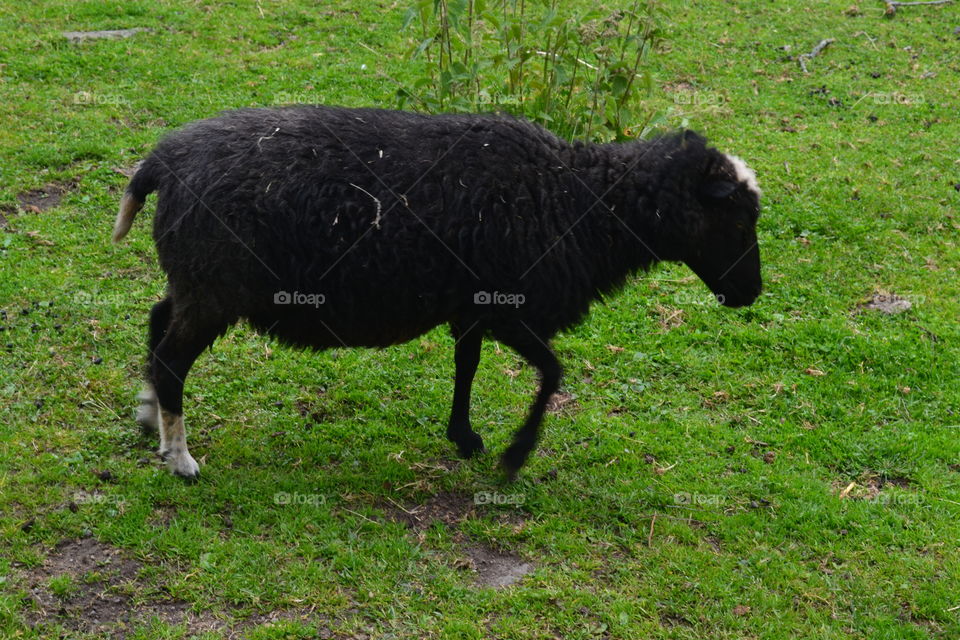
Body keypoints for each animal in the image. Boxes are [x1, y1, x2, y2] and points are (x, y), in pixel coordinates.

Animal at [112, 106, 762, 480]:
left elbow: (466, 364)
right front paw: (513, 457)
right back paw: (182, 459)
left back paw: (150, 418)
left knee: (157, 325)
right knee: (171, 358)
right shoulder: (509, 310)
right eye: (736, 220)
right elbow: (552, 373)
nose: (750, 294)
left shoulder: (472, 306)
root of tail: (162, 162)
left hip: (195, 279)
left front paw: (465, 437)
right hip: (216, 285)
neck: (581, 200)